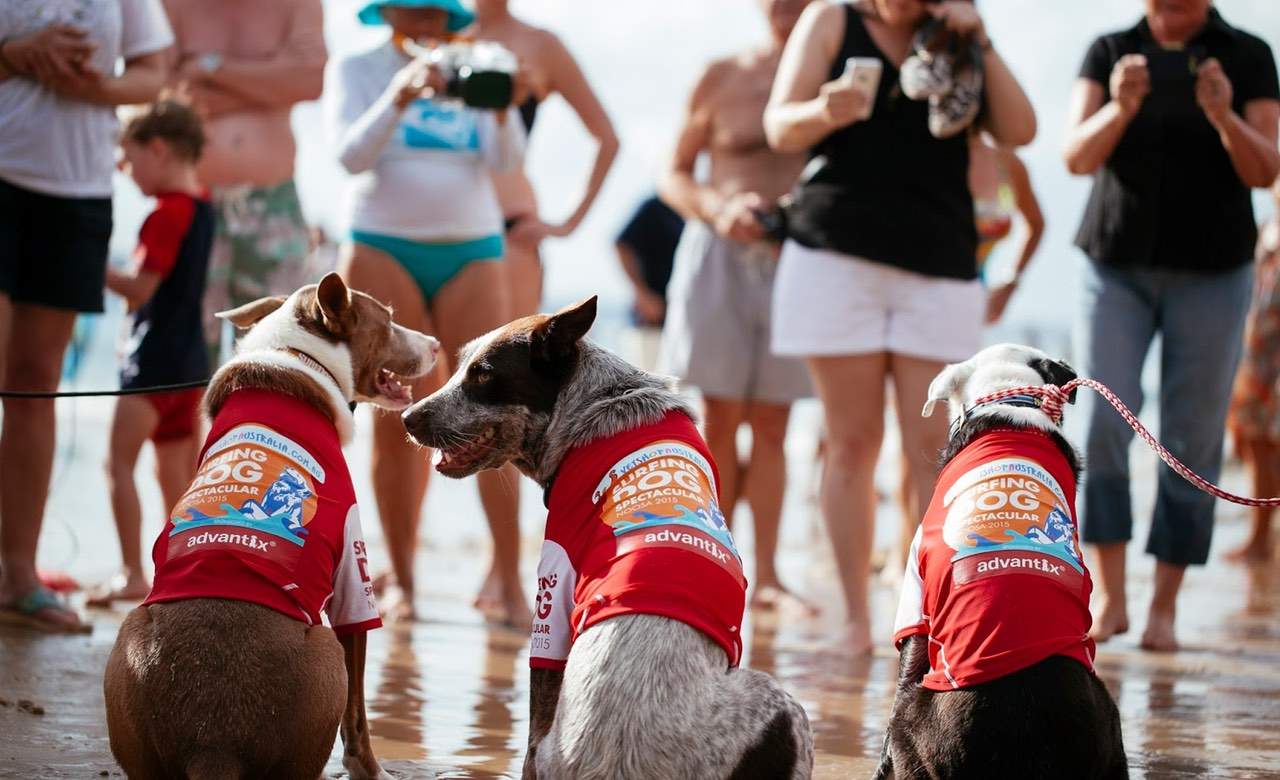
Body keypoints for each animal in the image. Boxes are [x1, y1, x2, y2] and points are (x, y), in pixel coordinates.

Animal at [101, 270, 440, 773]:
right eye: (389, 320)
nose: (436, 344)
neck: (297, 355)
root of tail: (212, 743)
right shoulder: (352, 568)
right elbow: (358, 712)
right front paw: (372, 770)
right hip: (325, 651)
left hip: (129, 637)